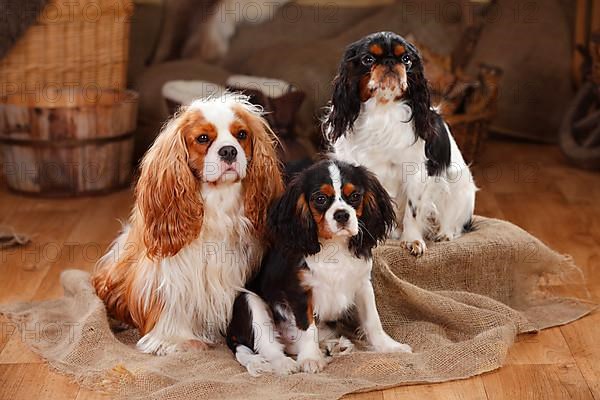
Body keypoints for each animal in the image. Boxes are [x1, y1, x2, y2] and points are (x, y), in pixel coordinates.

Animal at [91, 93, 284, 354]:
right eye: (203, 138)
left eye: (242, 134)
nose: (229, 151)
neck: (218, 200)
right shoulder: (170, 270)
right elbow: (172, 300)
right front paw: (173, 339)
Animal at [226, 159, 412, 376]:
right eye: (320, 199)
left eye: (355, 196)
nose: (342, 215)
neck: (334, 246)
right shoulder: (300, 292)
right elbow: (307, 327)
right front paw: (311, 359)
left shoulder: (362, 284)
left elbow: (373, 319)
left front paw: (389, 346)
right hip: (248, 301)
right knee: (269, 345)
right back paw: (285, 364)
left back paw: (334, 346)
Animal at [326, 31, 476, 256]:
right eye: (368, 59)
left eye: (406, 59)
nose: (390, 61)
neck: (382, 110)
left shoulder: (416, 172)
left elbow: (413, 211)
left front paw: (412, 240)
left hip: (460, 188)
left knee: (457, 223)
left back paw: (445, 233)